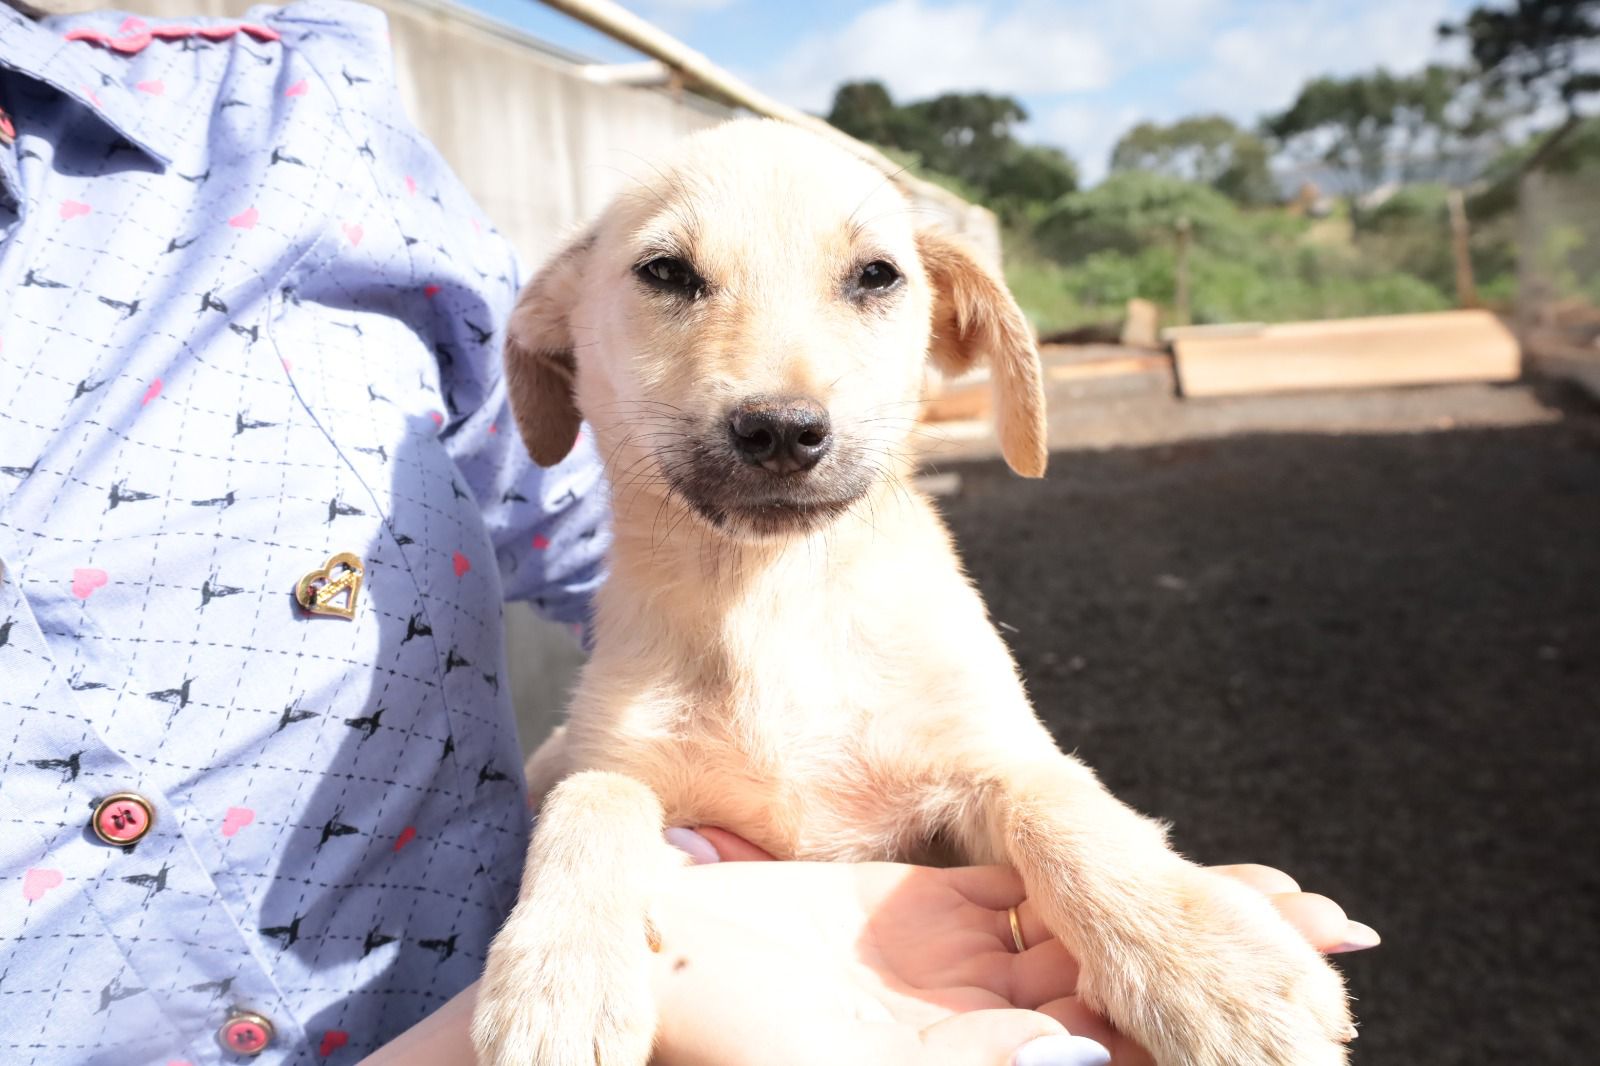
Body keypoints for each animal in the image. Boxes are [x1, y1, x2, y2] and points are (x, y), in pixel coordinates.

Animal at [470, 118, 1350, 1062]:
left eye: (876, 275)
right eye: (665, 272)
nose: (781, 431)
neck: (776, 601)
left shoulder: (991, 755)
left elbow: (1064, 810)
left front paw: (1213, 968)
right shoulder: (606, 753)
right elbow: (588, 802)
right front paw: (559, 978)